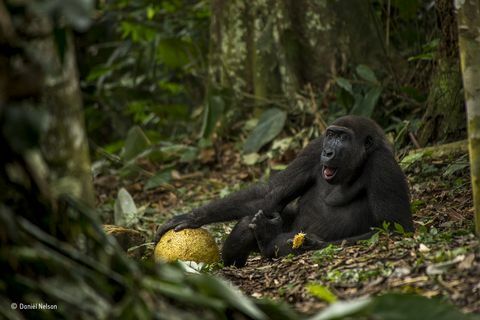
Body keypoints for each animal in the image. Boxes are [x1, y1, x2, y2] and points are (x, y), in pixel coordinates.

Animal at [155, 116, 412, 266]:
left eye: (343, 138)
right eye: (331, 135)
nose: (328, 152)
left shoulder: (382, 165)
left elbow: (395, 229)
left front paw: (310, 243)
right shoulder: (313, 148)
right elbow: (270, 193)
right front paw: (193, 216)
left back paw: (269, 239)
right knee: (252, 218)